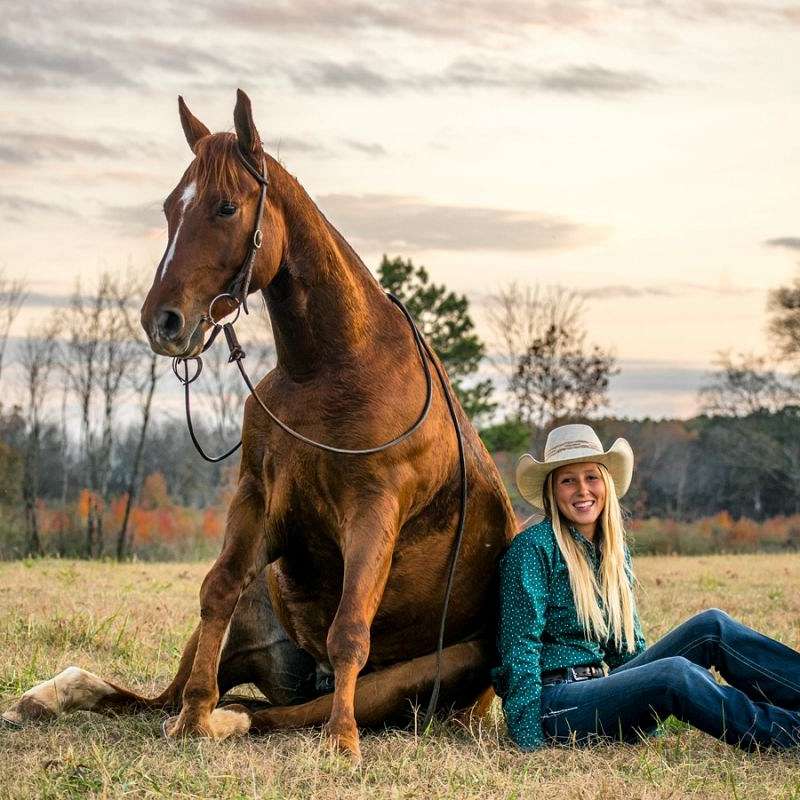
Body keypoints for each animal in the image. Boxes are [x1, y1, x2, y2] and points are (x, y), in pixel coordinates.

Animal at [3, 90, 516, 760]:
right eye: (171, 206)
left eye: (226, 206)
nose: (163, 321)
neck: (331, 366)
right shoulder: (257, 498)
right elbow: (216, 589)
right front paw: (194, 716)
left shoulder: (373, 510)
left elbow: (350, 627)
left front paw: (342, 743)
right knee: (160, 698)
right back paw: (65, 698)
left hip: (417, 678)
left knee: (284, 713)